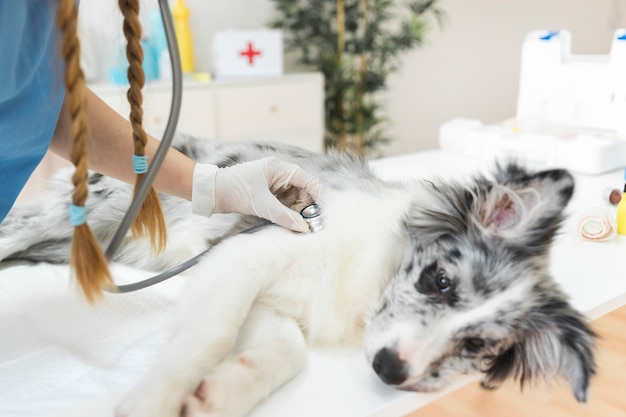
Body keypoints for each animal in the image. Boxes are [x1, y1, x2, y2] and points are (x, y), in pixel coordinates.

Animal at [0, 134, 596, 416]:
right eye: (440, 281)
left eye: (476, 346)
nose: (390, 370)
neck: (366, 276)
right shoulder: (242, 257)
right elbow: (209, 336)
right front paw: (157, 399)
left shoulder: (269, 300)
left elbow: (287, 354)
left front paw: (222, 393)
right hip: (80, 211)